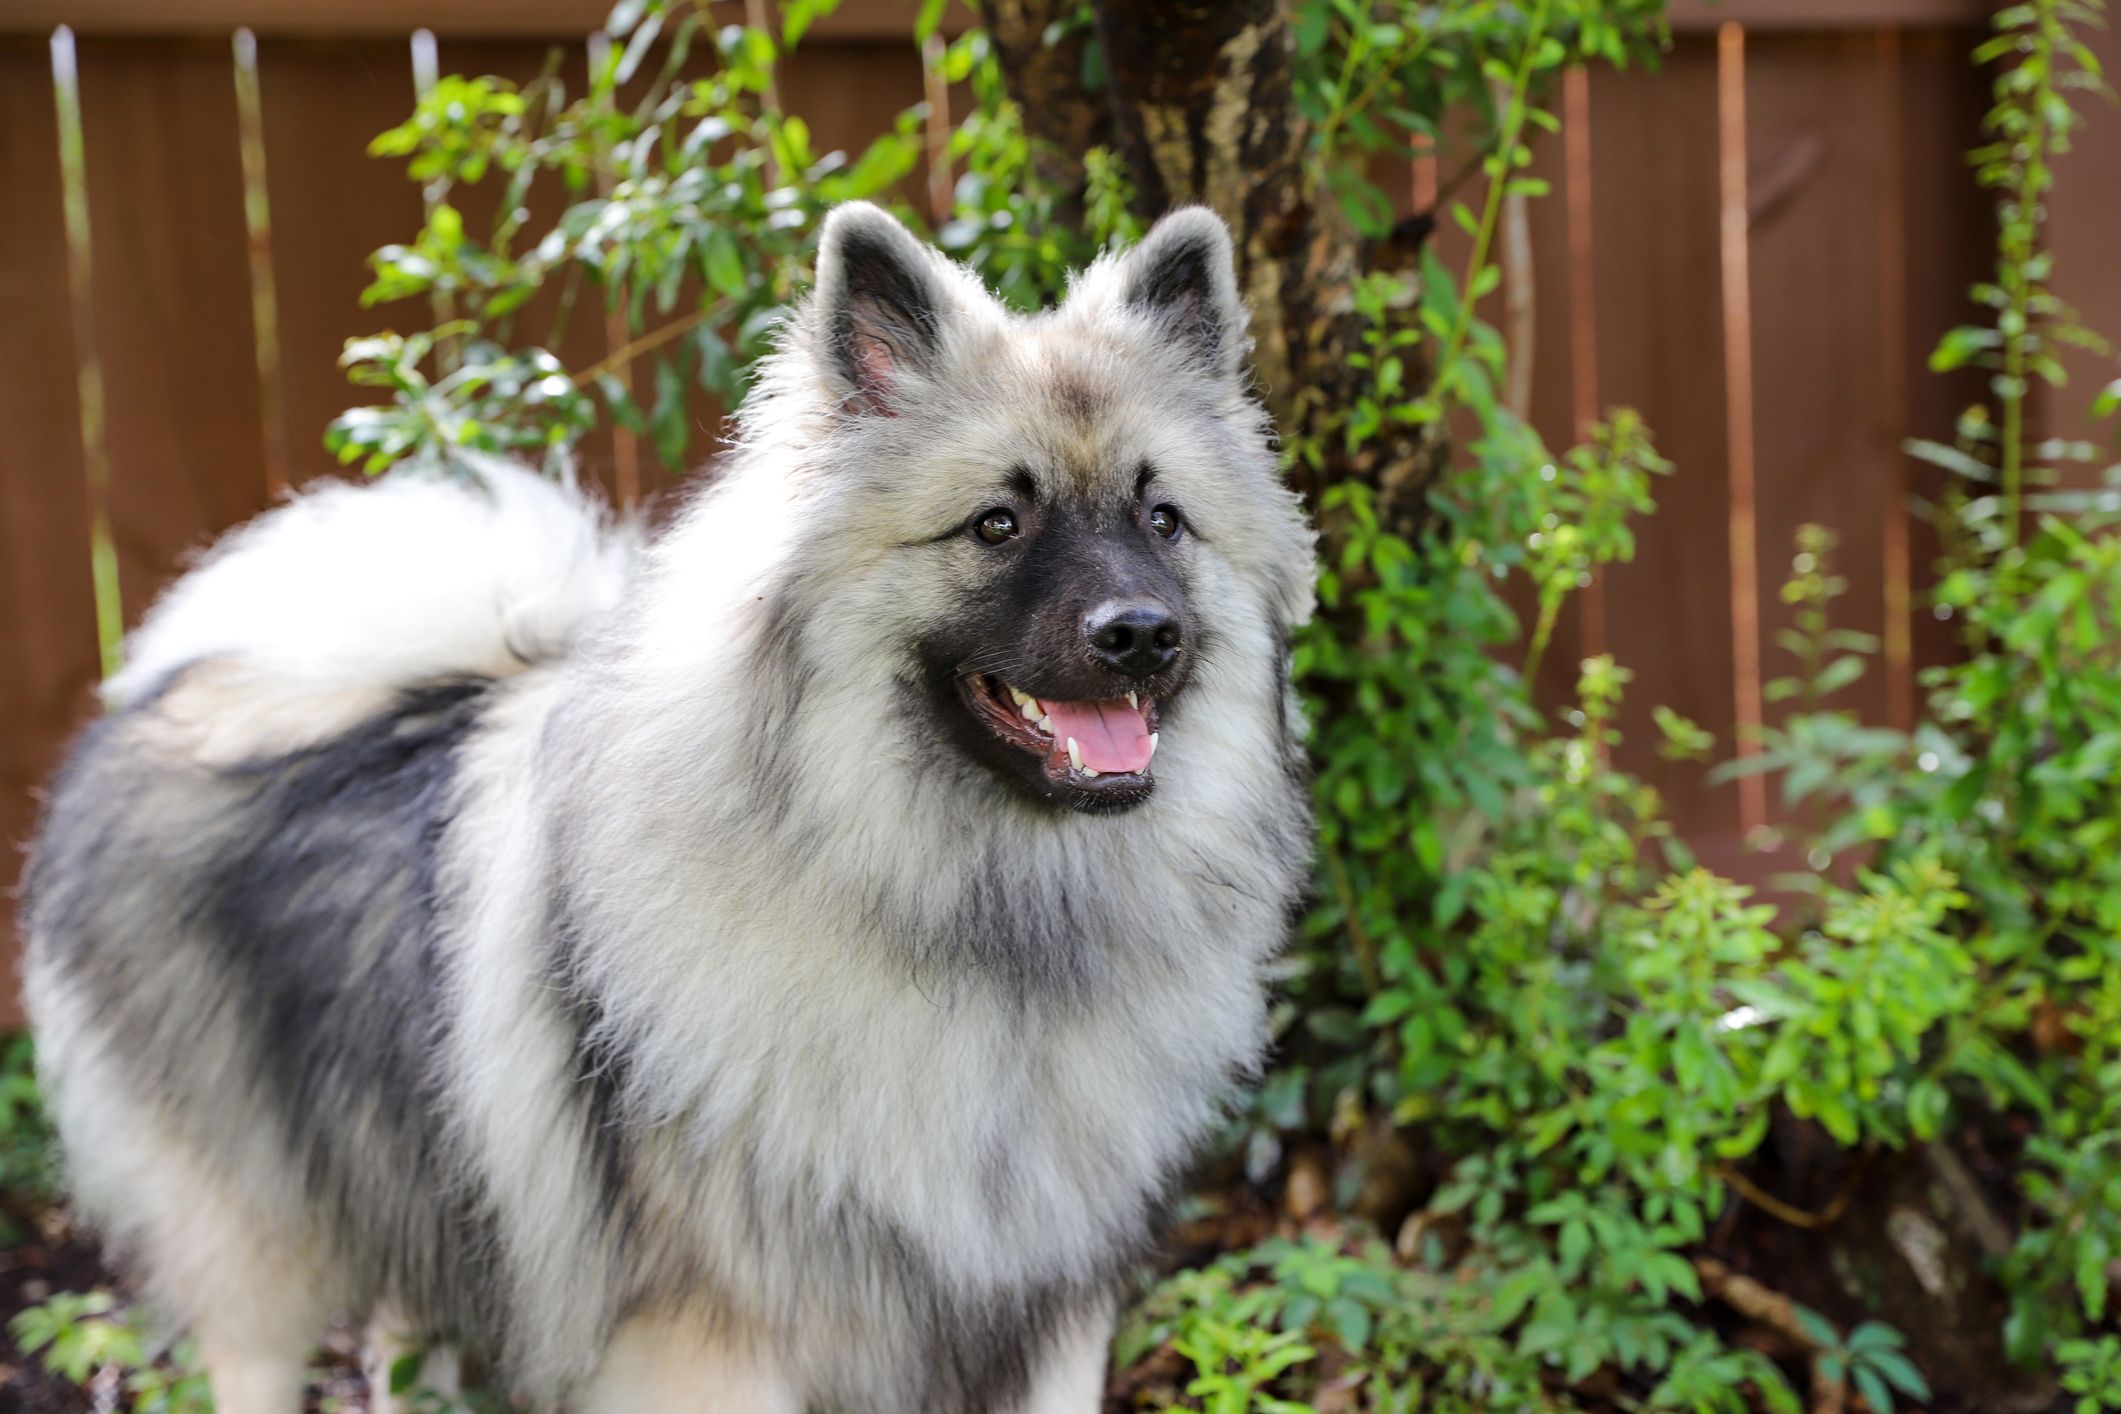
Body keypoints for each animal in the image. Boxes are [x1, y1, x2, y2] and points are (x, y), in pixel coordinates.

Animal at [24, 201, 1315, 1414]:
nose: (1142, 634)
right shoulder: (713, 1341)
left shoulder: (1049, 1318)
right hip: (262, 1242)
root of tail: (177, 687)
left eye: (1163, 519)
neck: (984, 927)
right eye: (998, 523)